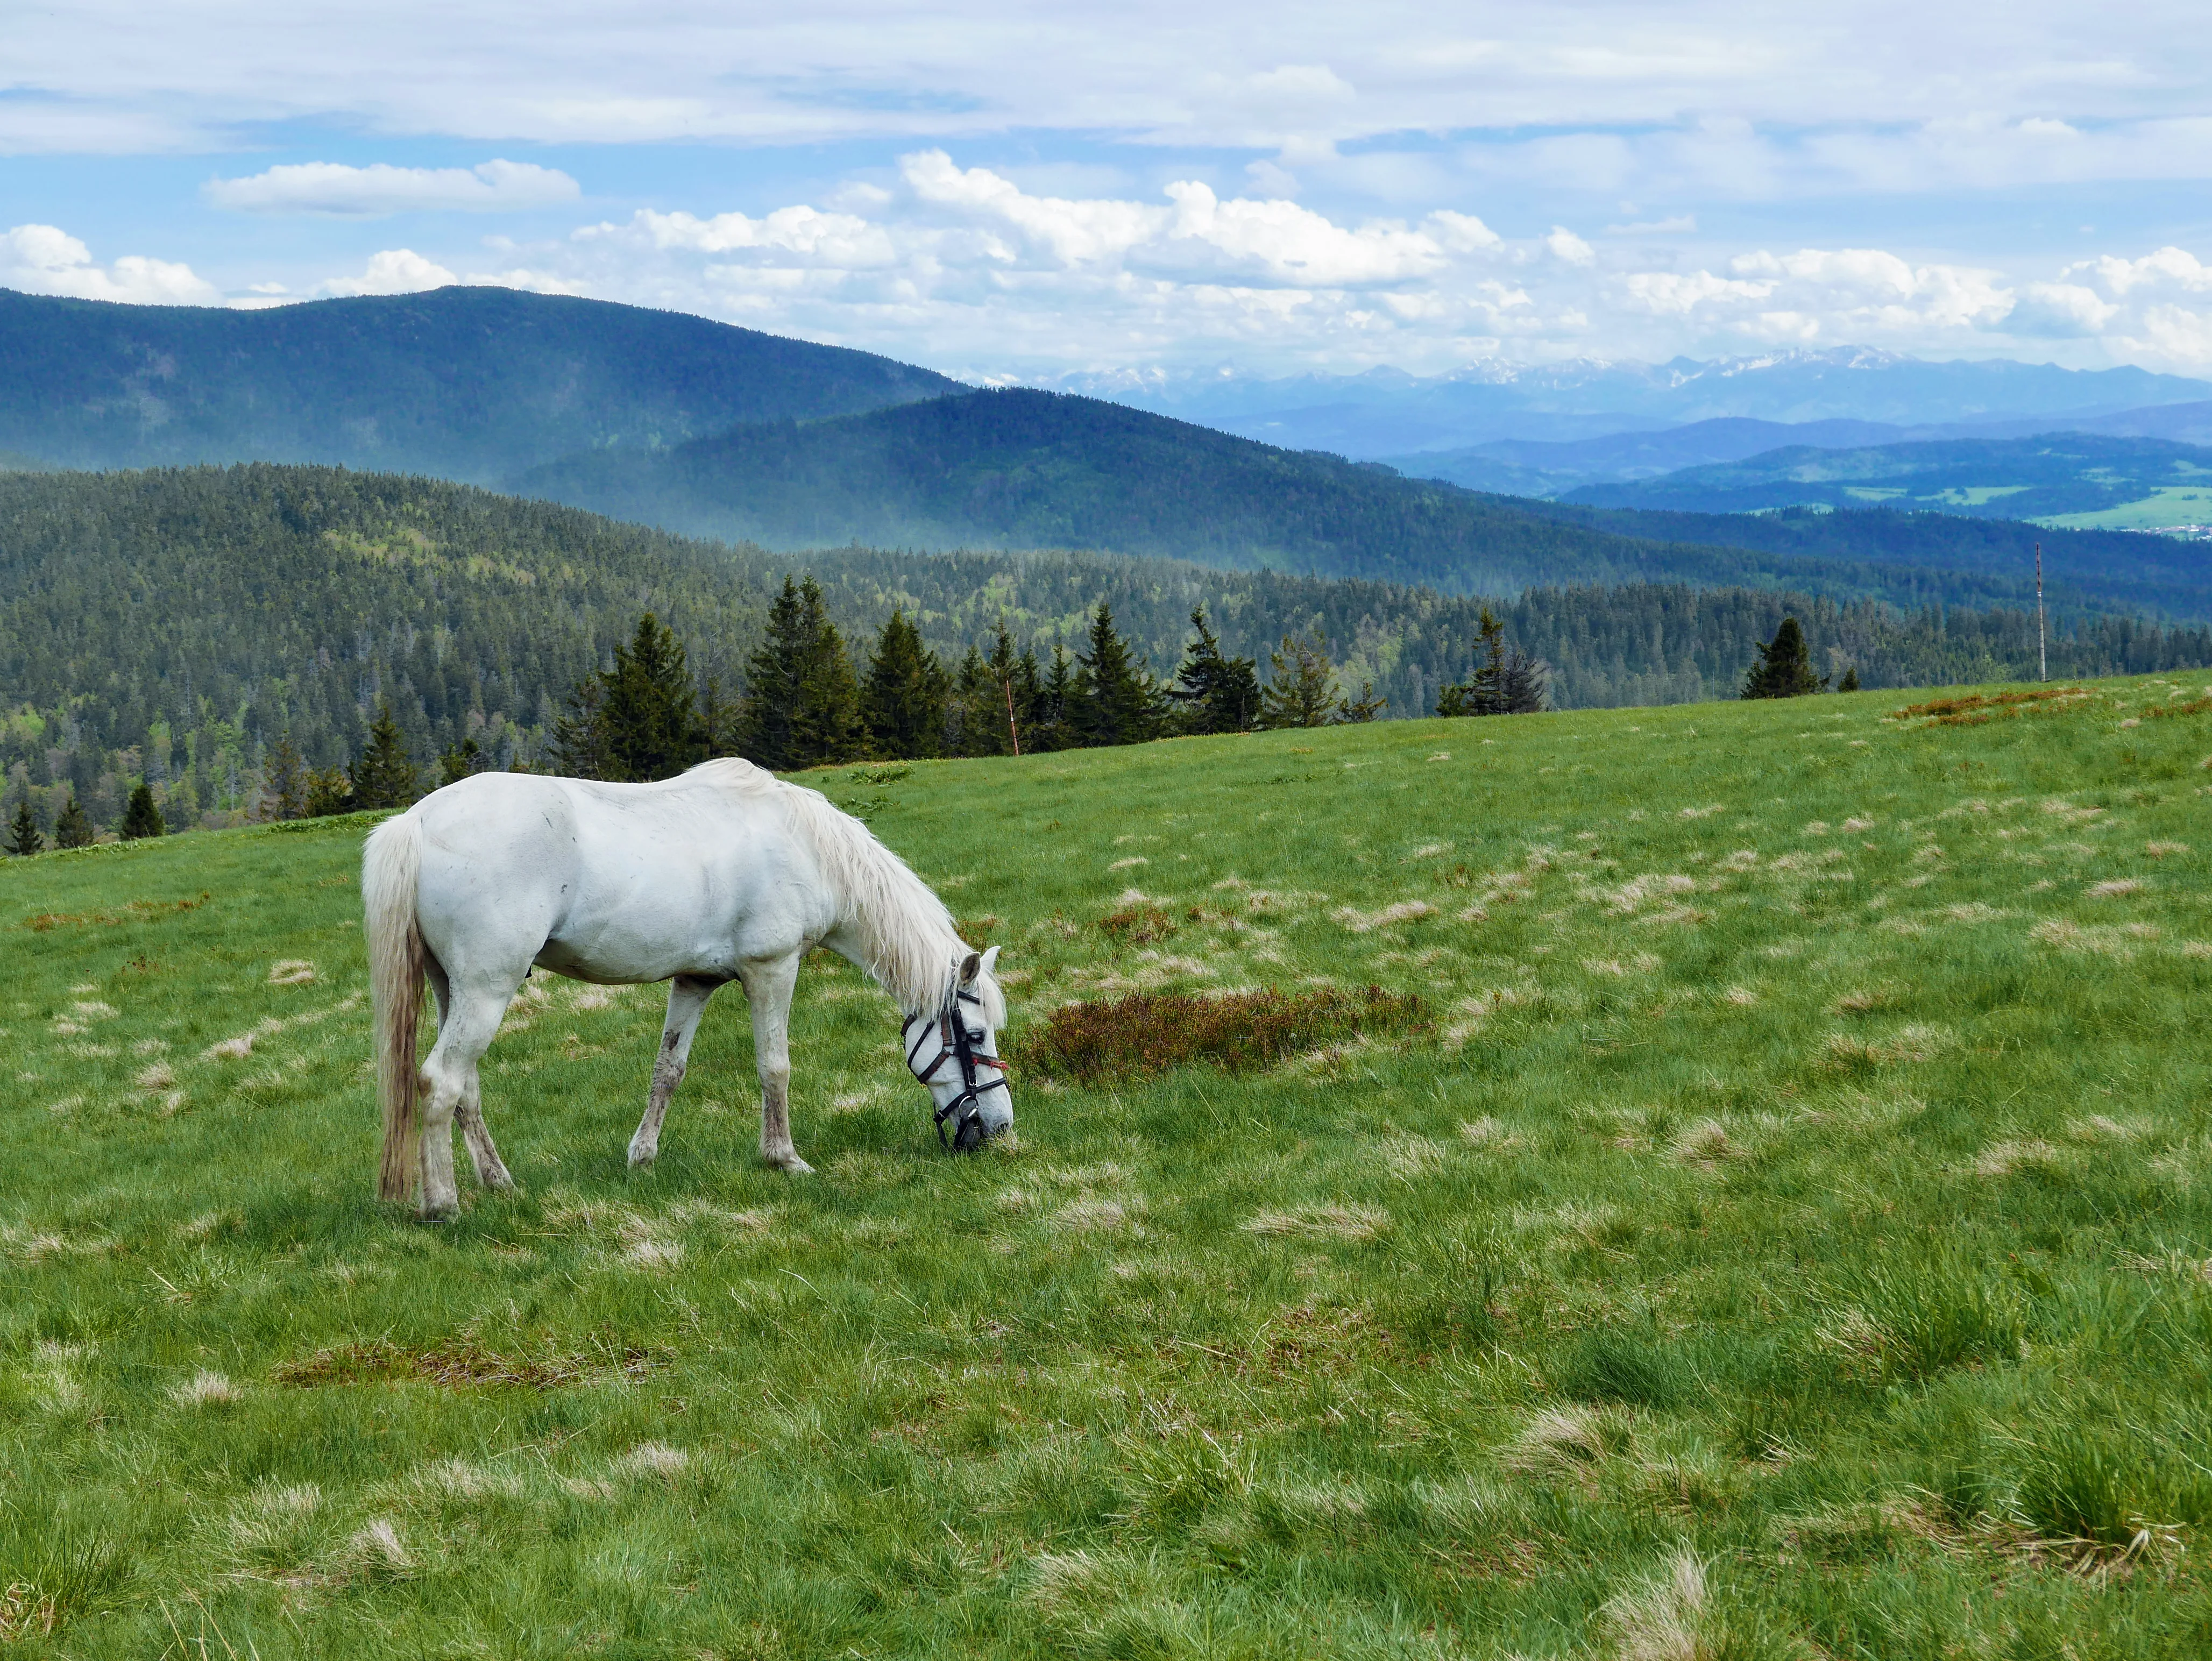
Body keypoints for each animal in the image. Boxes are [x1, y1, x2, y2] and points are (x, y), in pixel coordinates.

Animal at [360, 761, 1013, 1212]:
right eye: (976, 1034)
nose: (1000, 1127)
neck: (805, 844)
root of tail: (417, 821)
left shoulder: (695, 981)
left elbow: (667, 1071)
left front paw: (642, 1159)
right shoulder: (773, 970)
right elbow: (774, 1067)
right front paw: (784, 1159)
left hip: (453, 990)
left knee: (465, 1091)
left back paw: (500, 1185)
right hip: (486, 990)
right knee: (440, 1082)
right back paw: (443, 1203)